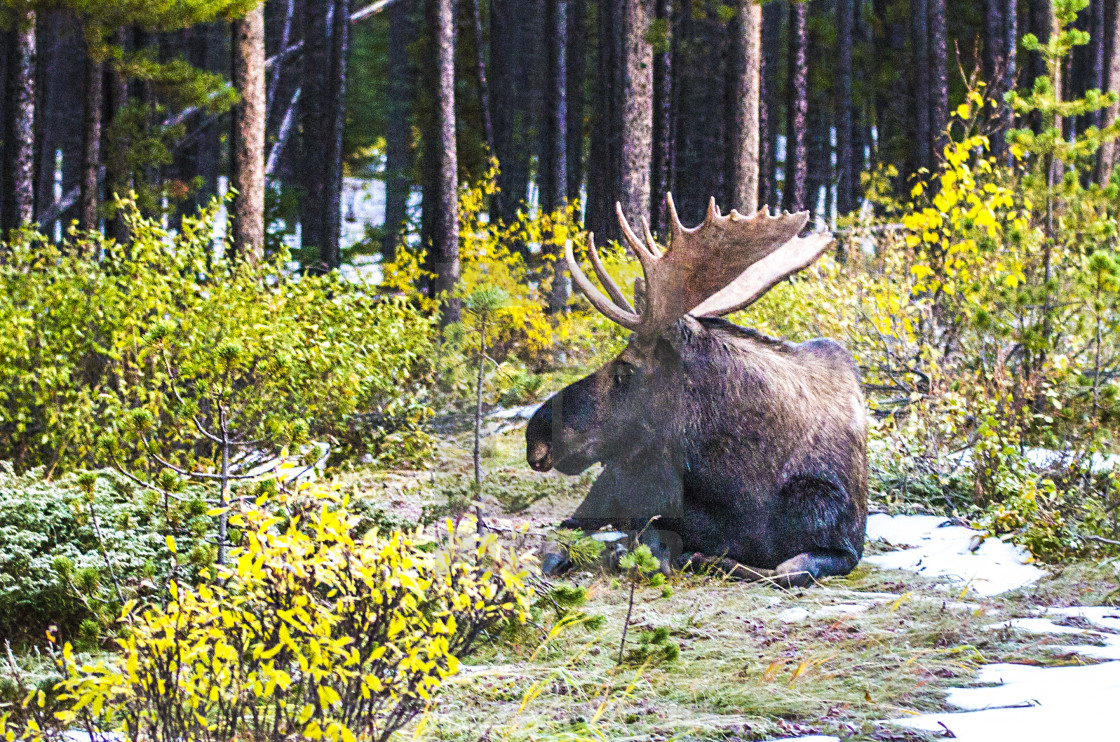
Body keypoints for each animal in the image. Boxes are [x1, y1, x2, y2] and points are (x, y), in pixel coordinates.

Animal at [524, 196, 864, 587]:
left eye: (626, 369)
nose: (536, 435)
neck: (744, 485)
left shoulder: (845, 543)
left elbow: (788, 569)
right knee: (569, 528)